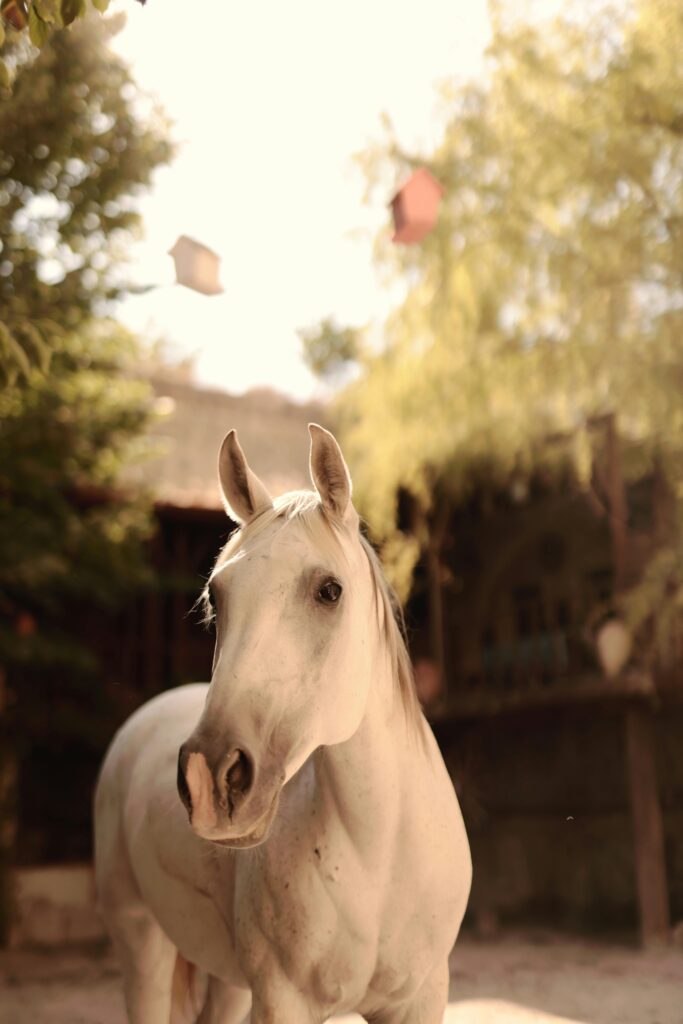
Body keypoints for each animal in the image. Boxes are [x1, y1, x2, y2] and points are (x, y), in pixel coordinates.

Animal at [94, 424, 471, 1024]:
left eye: (329, 591)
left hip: (228, 983)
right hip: (141, 944)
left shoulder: (421, 997)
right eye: (216, 596)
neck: (378, 857)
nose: (210, 778)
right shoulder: (281, 999)